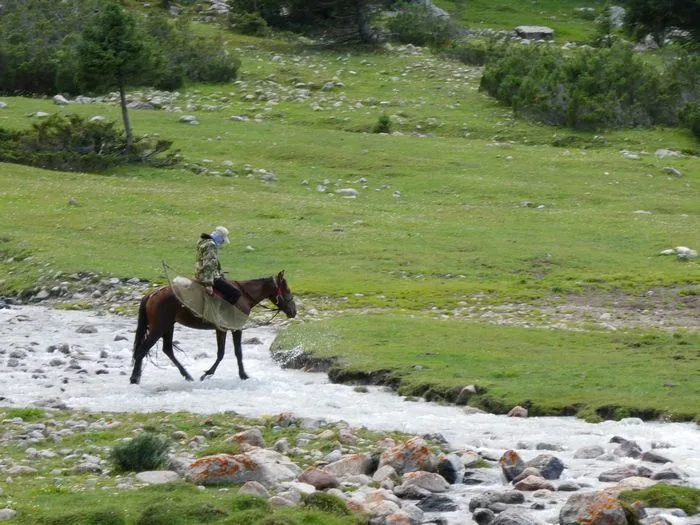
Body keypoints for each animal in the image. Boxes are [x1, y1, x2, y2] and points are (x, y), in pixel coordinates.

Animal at [129, 271, 296, 385]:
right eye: (287, 290)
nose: (294, 311)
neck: (244, 296)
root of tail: (152, 294)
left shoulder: (221, 329)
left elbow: (222, 353)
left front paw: (208, 373)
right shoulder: (235, 328)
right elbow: (236, 353)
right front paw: (241, 375)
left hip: (168, 326)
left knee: (167, 349)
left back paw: (187, 375)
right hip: (159, 328)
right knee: (143, 350)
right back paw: (135, 378)